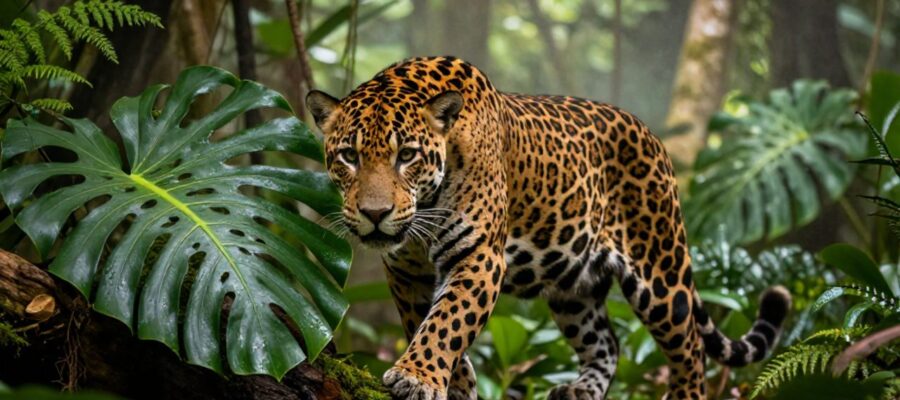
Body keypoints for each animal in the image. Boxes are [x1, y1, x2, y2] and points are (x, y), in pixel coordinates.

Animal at [306, 56, 791, 400]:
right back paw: (578, 391)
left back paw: (685, 393)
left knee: (689, 344)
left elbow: (447, 321)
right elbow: (427, 324)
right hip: (573, 288)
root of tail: (651, 134)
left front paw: (416, 376)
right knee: (607, 343)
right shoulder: (407, 272)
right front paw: (456, 385)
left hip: (659, 268)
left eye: (406, 155)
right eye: (348, 156)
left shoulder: (479, 257)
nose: (375, 213)